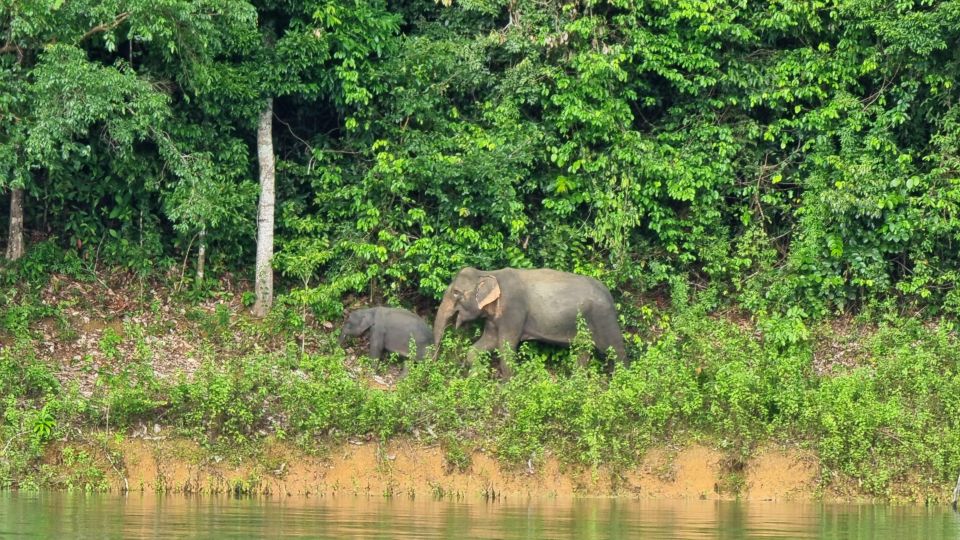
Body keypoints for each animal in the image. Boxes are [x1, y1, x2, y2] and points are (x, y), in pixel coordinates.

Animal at [432, 266, 628, 376]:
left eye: (456, 293)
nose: (433, 360)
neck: (488, 273)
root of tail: (610, 295)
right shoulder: (495, 317)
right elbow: (487, 343)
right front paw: (475, 379)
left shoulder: (514, 310)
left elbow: (506, 347)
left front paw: (506, 389)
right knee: (583, 350)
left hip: (603, 317)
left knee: (615, 350)